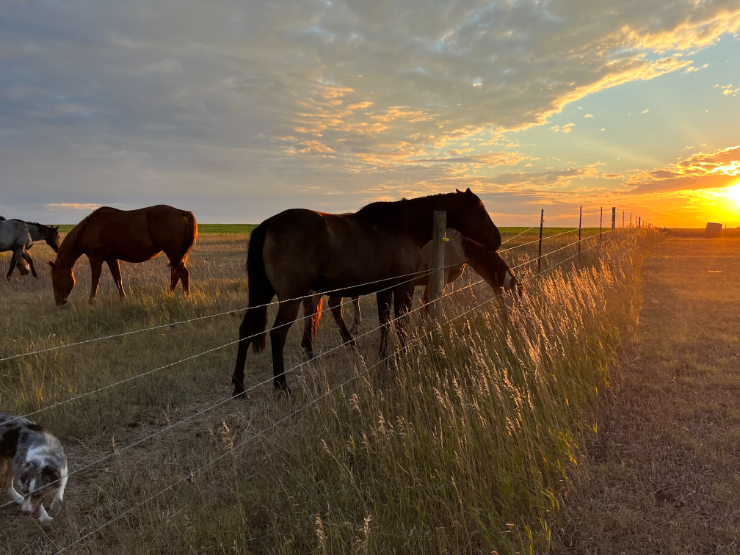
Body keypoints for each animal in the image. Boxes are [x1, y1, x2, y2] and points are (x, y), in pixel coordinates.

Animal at [48, 205, 197, 305]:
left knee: (183, 274)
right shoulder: (111, 258)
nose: (58, 302)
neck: (88, 229)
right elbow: (117, 278)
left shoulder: (95, 257)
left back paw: (186, 297)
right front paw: (123, 299)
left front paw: (91, 301)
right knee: (176, 274)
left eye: (54, 280)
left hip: (173, 253)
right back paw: (170, 294)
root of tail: (181, 212)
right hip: (178, 256)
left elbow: (95, 280)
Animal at [300, 229, 523, 358]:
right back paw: (324, 346)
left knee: (322, 305)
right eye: (516, 301)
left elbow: (425, 306)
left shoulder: (430, 281)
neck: (459, 243)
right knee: (322, 305)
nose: (516, 324)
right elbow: (429, 305)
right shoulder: (439, 277)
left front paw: (419, 331)